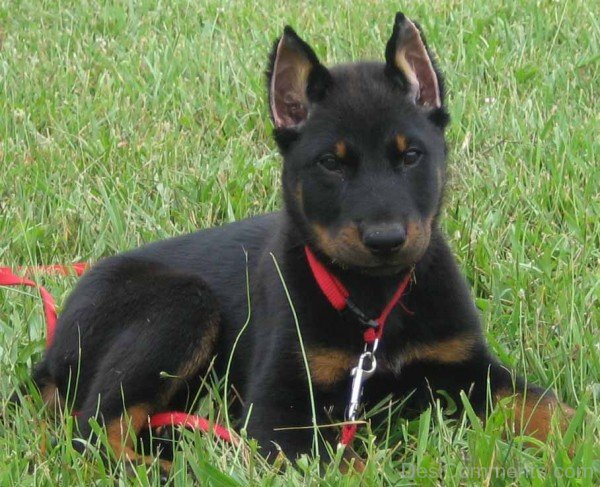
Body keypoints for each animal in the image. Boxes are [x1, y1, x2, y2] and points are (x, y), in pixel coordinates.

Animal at [23, 11, 576, 474]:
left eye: (411, 155)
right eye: (331, 163)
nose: (385, 240)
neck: (372, 300)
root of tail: (52, 348)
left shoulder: (471, 368)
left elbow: (545, 406)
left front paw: (576, 433)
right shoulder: (277, 409)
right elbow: (344, 464)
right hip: (180, 304)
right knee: (93, 430)